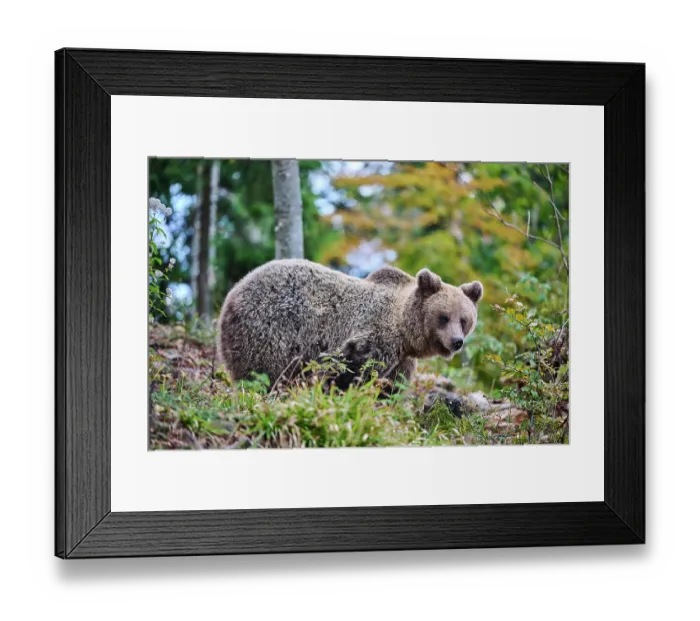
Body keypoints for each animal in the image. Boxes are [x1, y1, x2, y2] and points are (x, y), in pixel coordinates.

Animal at [216, 259, 484, 389]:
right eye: (444, 317)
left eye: (464, 320)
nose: (457, 341)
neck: (404, 334)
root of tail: (232, 293)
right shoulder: (371, 339)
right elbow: (349, 370)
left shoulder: (401, 361)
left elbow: (391, 386)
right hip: (271, 329)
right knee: (265, 370)